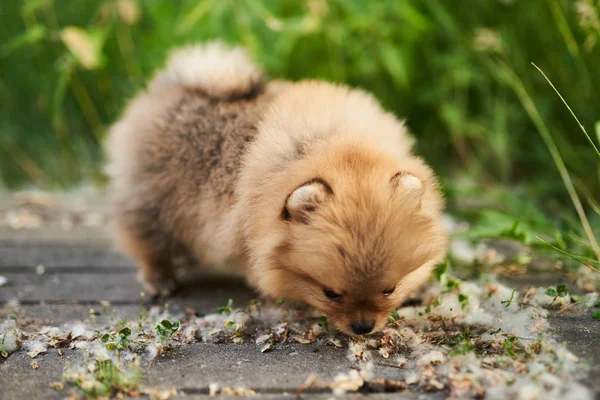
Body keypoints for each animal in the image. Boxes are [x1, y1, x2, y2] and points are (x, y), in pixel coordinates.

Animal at [105, 40, 448, 336]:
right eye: (331, 293)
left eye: (389, 288)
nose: (363, 326)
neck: (333, 146)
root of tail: (173, 86)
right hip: (149, 199)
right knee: (148, 242)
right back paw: (160, 279)